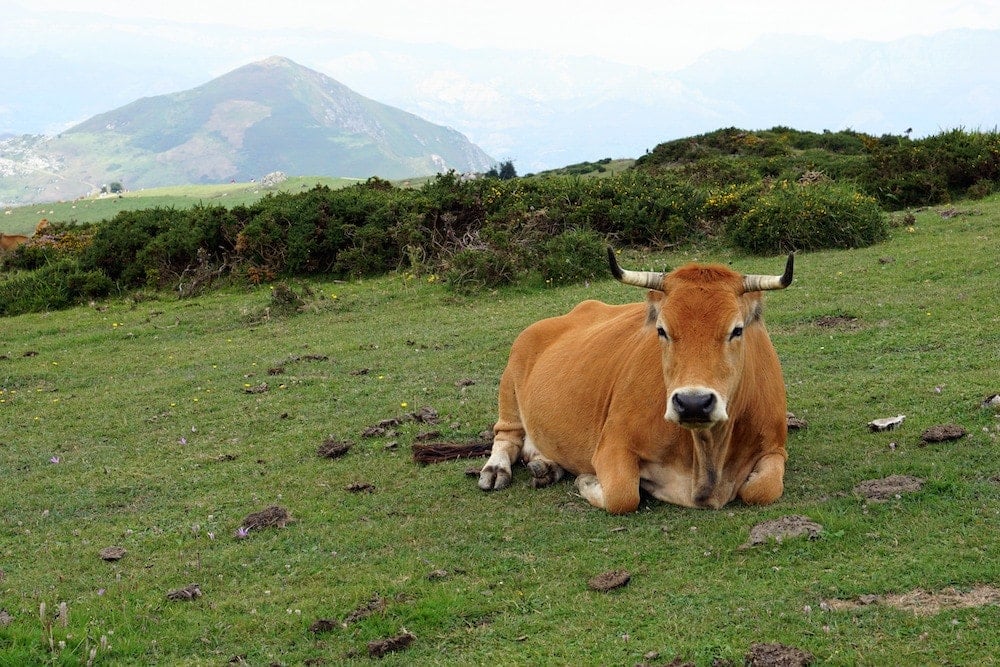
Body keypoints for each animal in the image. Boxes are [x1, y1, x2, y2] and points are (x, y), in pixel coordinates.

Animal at [480, 248, 792, 516]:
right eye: (662, 330)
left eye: (737, 330)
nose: (693, 403)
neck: (706, 454)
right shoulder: (613, 444)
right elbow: (622, 495)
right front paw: (586, 480)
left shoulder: (775, 447)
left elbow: (763, 489)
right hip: (510, 382)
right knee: (506, 436)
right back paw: (496, 471)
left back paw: (545, 467)